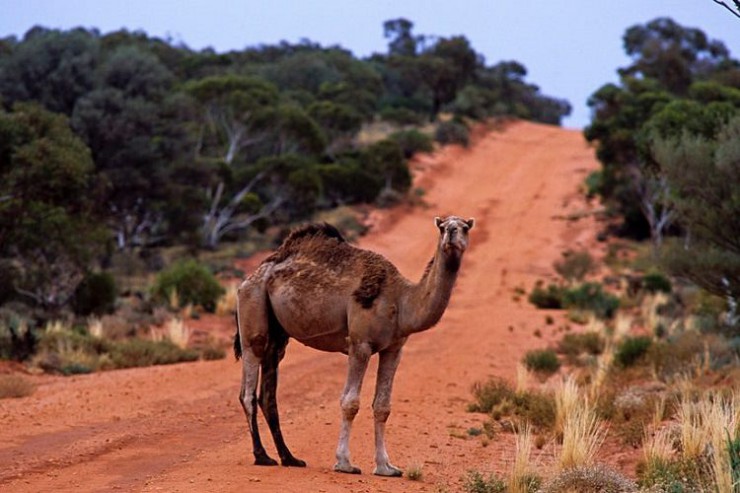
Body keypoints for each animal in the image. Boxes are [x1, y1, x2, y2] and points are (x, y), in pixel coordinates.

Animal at [233, 213, 474, 474]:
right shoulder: (360, 343)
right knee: (248, 386)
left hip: (278, 335)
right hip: (253, 309)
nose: (452, 232)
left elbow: (382, 406)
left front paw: (386, 467)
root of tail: (251, 276)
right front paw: (344, 463)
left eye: (465, 227)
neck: (401, 300)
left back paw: (290, 458)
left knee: (268, 393)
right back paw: (262, 456)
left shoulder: (394, 348)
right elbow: (350, 402)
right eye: (442, 227)